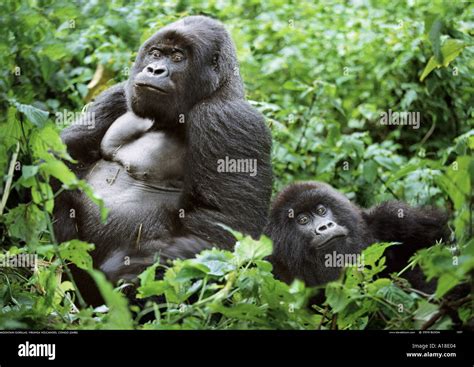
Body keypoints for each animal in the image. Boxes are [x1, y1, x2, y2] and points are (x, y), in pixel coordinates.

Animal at [53, 15, 272, 304]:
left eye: (178, 58)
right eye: (156, 54)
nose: (154, 69)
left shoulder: (228, 119)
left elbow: (225, 229)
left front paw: (125, 274)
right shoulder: (118, 93)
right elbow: (61, 157)